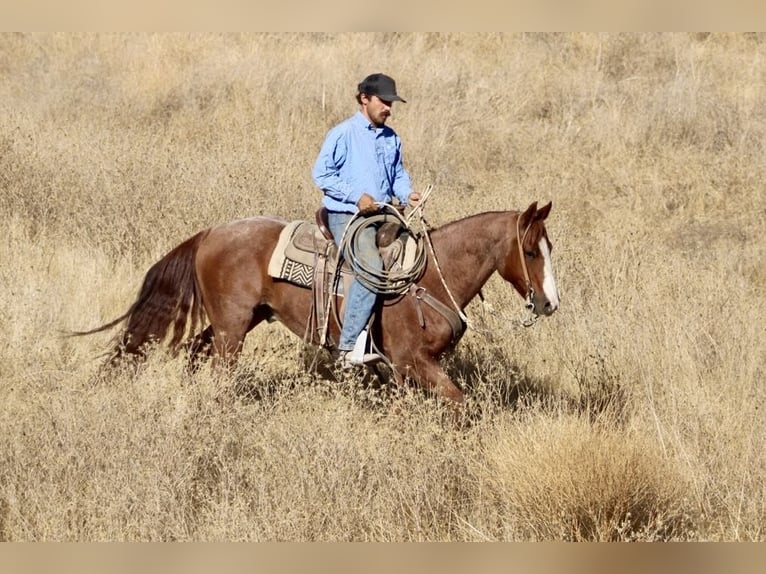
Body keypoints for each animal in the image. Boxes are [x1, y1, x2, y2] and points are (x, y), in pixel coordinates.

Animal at [77, 201, 559, 412]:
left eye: (549, 247)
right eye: (530, 251)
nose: (550, 303)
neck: (427, 280)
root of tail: (212, 232)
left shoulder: (403, 369)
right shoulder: (413, 361)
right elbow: (460, 403)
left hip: (240, 319)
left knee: (197, 352)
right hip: (232, 329)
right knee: (217, 369)